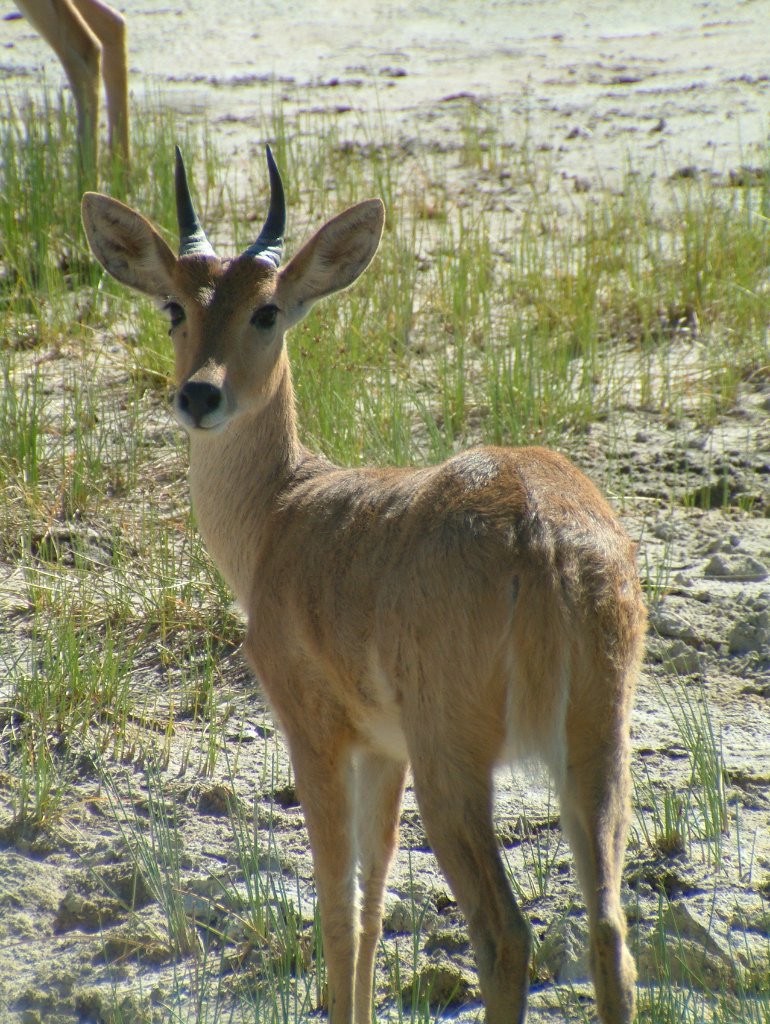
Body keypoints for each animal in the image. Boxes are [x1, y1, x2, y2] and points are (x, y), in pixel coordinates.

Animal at [81, 146, 647, 1024]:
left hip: (458, 765)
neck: (284, 510)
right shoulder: (386, 751)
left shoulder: (318, 733)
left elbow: (338, 908)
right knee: (610, 933)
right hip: (595, 747)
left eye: (269, 310)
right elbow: (377, 904)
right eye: (175, 304)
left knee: (506, 934)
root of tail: (547, 538)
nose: (200, 394)